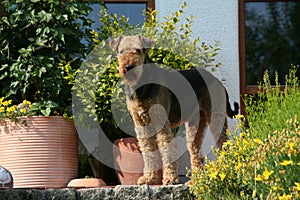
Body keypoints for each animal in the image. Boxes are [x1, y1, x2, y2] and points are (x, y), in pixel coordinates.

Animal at [110, 35, 239, 185]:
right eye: (121, 51)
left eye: (138, 50)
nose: (128, 67)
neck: (141, 86)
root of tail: (217, 80)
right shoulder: (141, 124)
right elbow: (148, 151)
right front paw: (148, 178)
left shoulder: (161, 122)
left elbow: (167, 150)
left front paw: (169, 179)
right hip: (195, 125)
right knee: (196, 152)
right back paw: (195, 181)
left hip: (216, 117)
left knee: (224, 143)